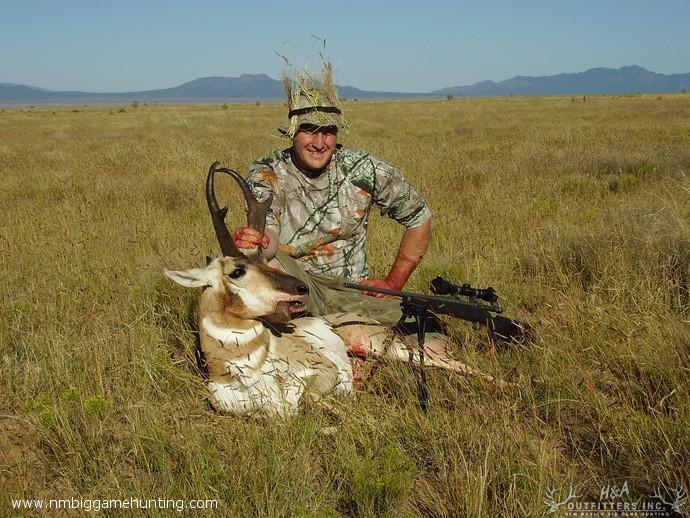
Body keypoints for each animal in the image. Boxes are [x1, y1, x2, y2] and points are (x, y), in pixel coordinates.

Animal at [165, 165, 500, 420]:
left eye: (262, 260)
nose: (299, 287)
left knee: (454, 364)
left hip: (381, 345)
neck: (248, 366)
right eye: (237, 271)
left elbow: (309, 400)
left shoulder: (323, 374)